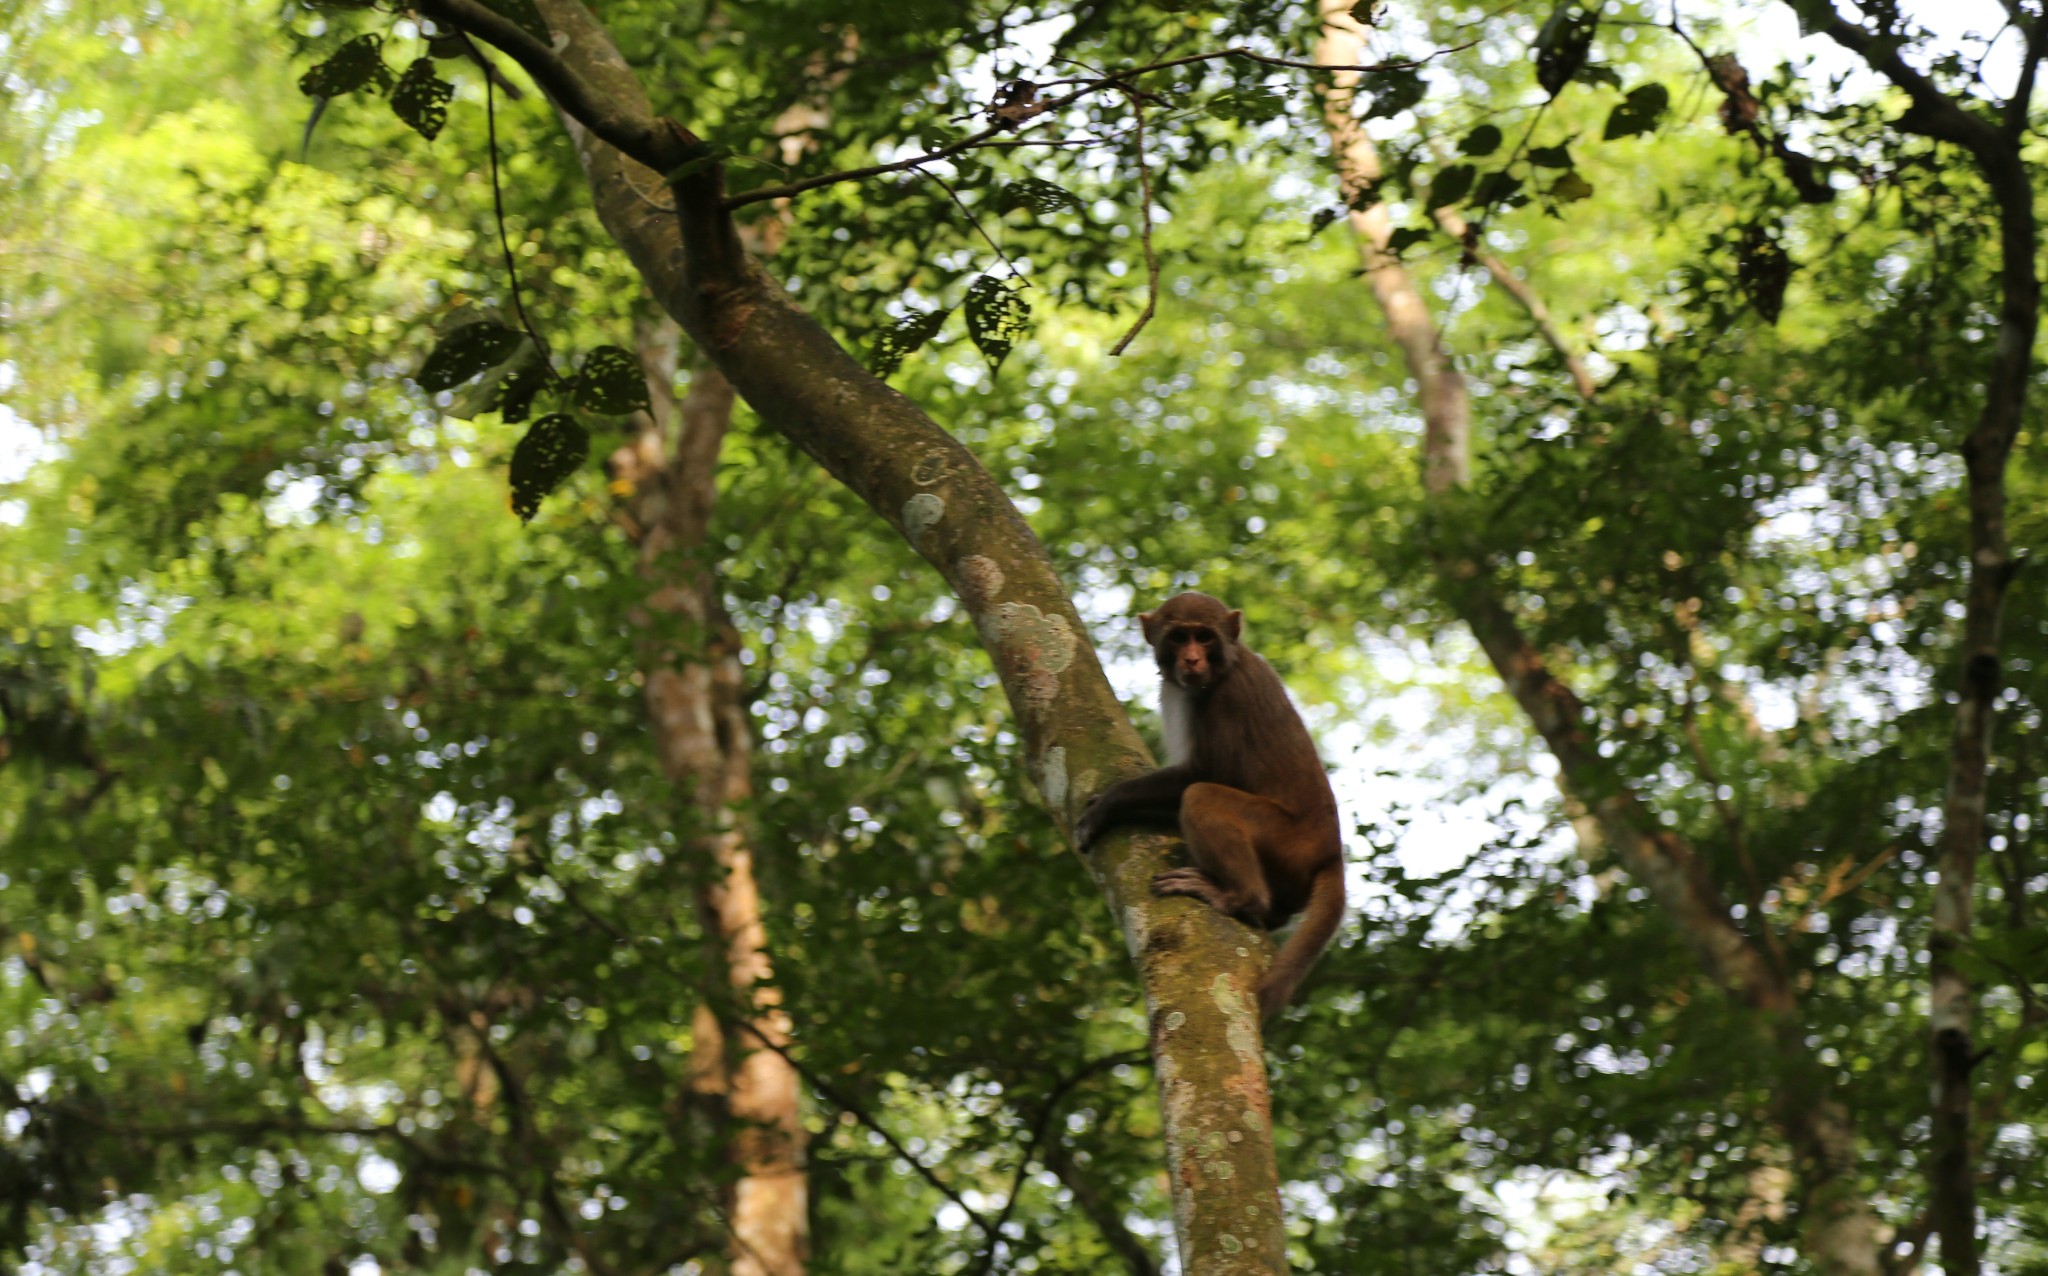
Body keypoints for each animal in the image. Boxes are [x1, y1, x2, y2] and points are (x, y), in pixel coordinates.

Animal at [1073, 593, 1343, 1024]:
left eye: (1204, 637)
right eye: (1179, 637)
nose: (1192, 659)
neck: (1225, 666)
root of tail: (1331, 852)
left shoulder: (1225, 699)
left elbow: (1203, 775)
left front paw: (1111, 804)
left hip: (1287, 841)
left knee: (1201, 795)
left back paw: (1240, 898)